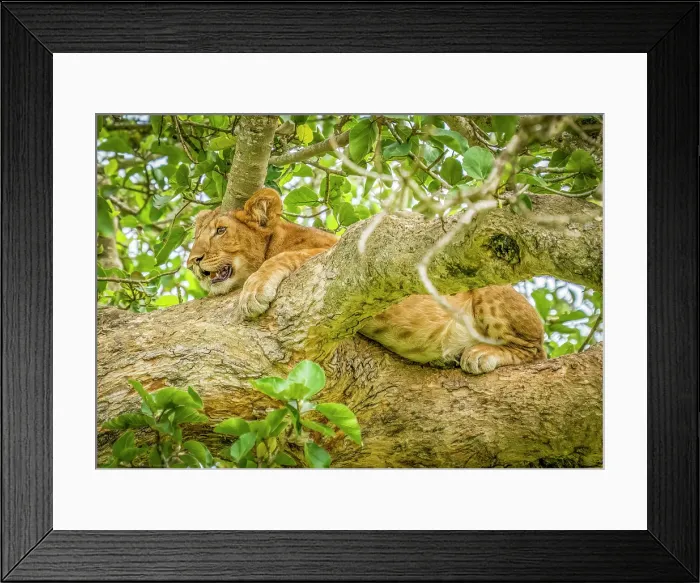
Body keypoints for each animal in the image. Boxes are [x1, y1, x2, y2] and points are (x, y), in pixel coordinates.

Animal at [187, 188, 545, 374]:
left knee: (535, 350)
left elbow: (283, 258)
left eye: (221, 231)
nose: (192, 261)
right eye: (196, 237)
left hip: (490, 294)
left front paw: (254, 292)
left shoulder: (334, 252)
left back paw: (481, 354)